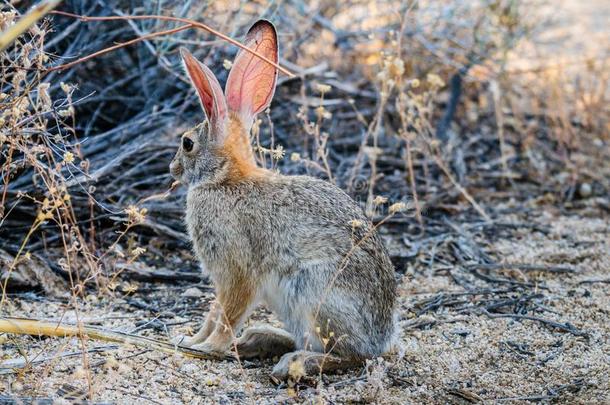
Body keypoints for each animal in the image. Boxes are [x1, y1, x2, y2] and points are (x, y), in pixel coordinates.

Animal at [169, 19, 396, 378]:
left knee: (350, 356)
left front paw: (208, 347)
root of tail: (382, 339)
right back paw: (259, 338)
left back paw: (294, 363)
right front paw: (190, 340)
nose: (173, 168)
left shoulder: (237, 269)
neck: (226, 179)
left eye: (187, 143)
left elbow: (228, 313)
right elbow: (214, 311)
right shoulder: (222, 277)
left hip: (314, 296)